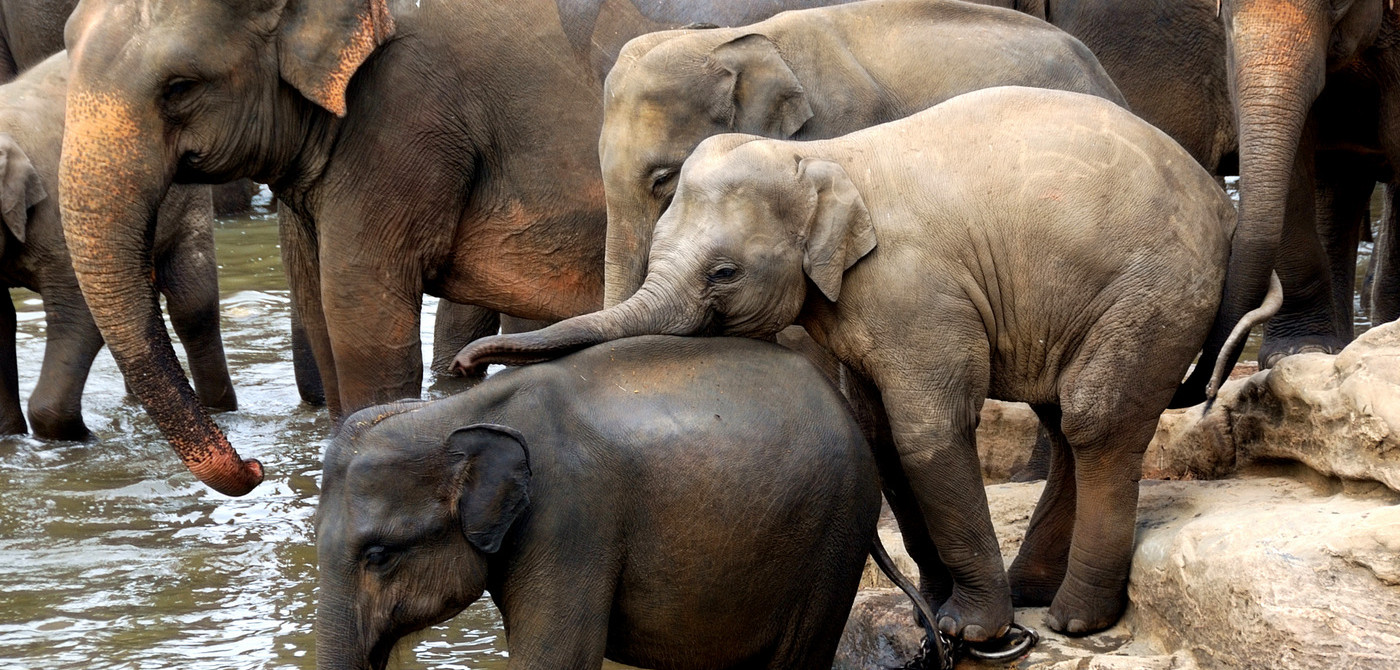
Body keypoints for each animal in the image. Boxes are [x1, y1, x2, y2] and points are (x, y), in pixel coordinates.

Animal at [0, 52, 235, 442]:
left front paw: (78, 439)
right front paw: (10, 436)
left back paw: (220, 410)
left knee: (193, 305)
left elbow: (79, 314)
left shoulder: (59, 217)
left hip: (191, 200)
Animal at [453, 86, 1282, 637]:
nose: (464, 365)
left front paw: (970, 632)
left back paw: (1073, 621)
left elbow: (926, 433)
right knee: (1069, 418)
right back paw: (1035, 593)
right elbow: (880, 436)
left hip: (1152, 291)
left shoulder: (914, 291)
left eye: (724, 273)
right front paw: (941, 613)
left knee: (1093, 419)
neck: (821, 159)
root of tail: (1221, 201)